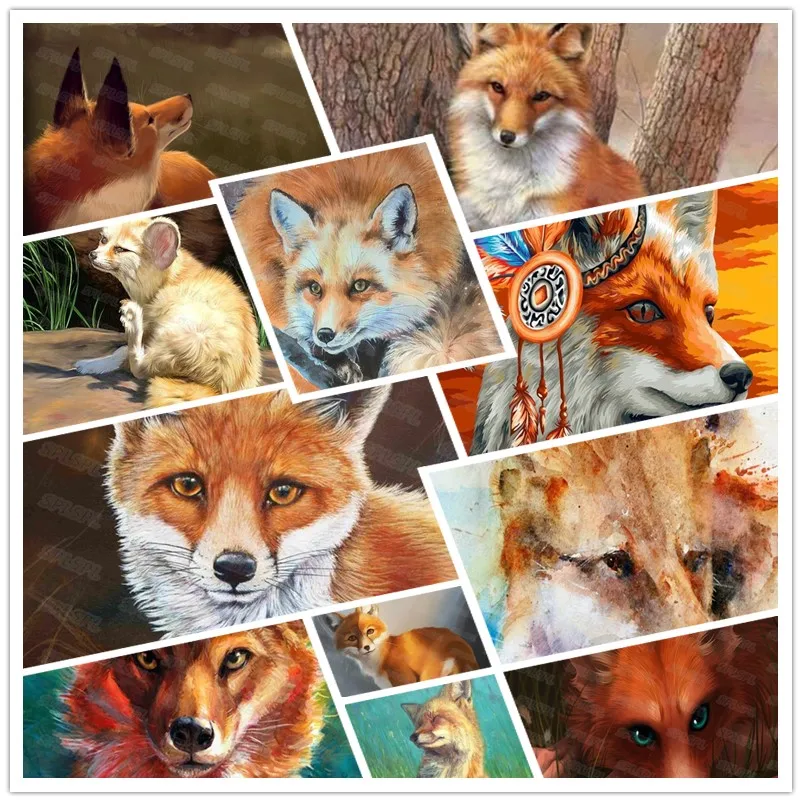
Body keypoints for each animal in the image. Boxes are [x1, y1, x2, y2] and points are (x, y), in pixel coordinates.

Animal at [73, 215, 262, 406]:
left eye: (120, 249)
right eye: (103, 240)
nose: (92, 254)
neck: (171, 279)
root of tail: (223, 387)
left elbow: (125, 352)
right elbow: (121, 351)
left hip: (178, 327)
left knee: (140, 369)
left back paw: (132, 324)